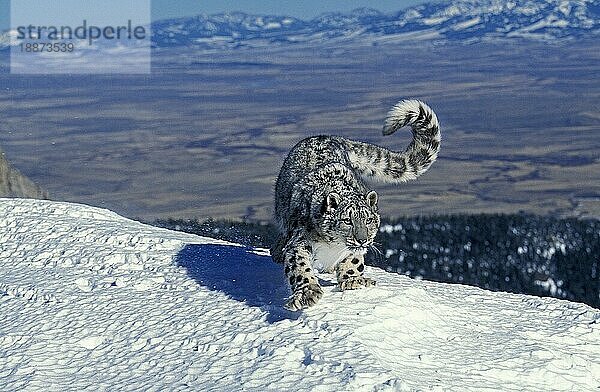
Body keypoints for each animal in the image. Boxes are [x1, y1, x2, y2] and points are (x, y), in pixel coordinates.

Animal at [272, 99, 440, 310]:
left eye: (368, 220)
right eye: (347, 220)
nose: (362, 239)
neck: (333, 246)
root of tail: (330, 137)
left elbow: (353, 260)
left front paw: (354, 280)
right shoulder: (299, 241)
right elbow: (299, 265)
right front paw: (307, 293)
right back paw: (277, 251)